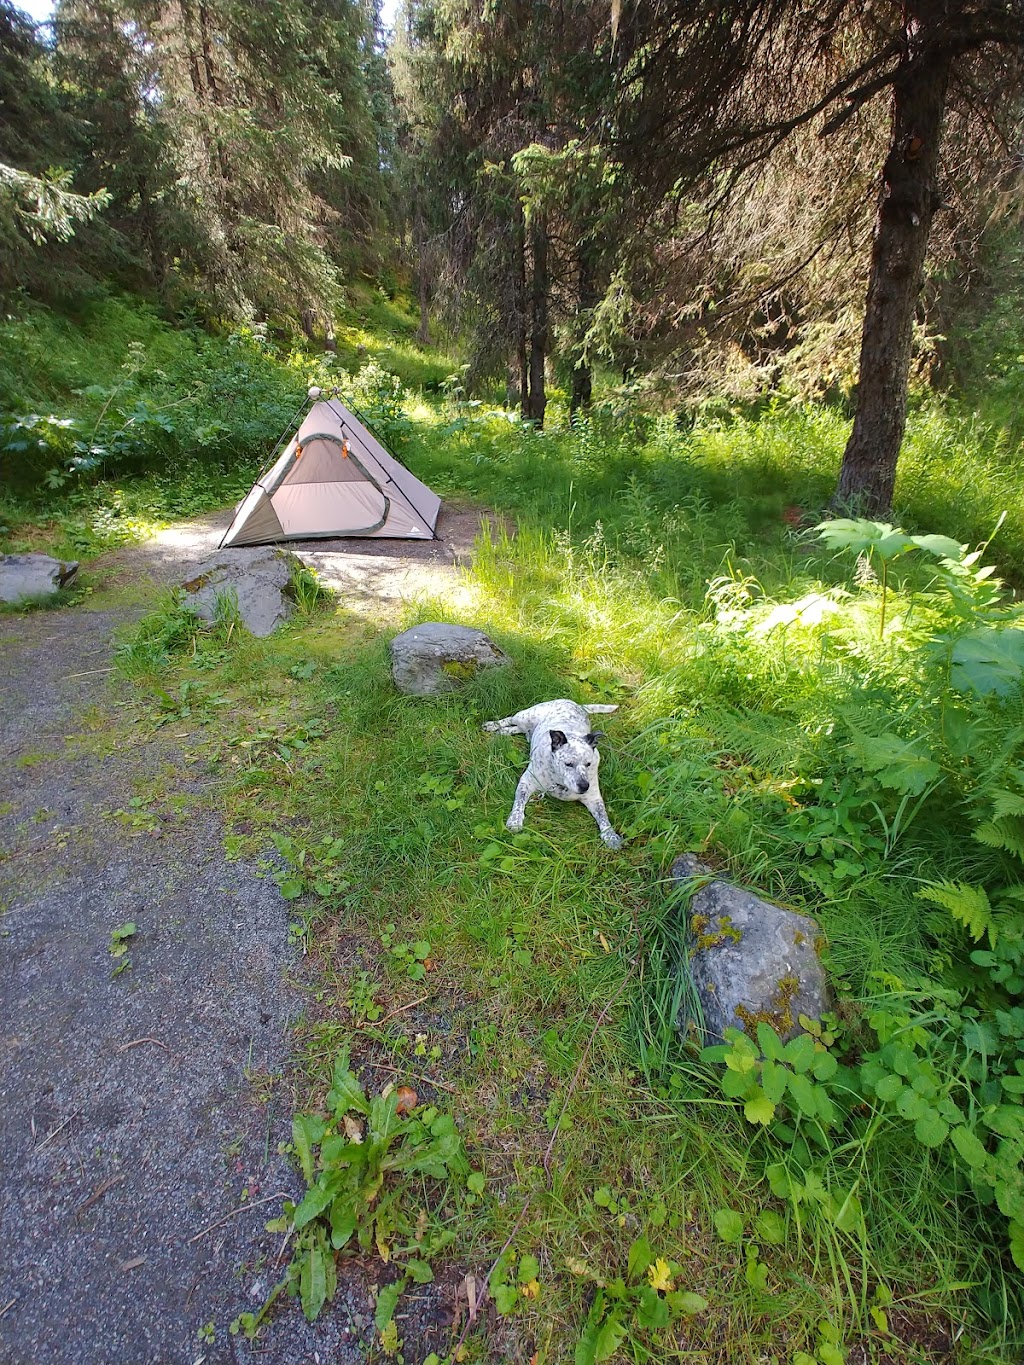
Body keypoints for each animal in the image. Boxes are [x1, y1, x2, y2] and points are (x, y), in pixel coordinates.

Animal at [483, 698, 622, 846]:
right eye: (568, 764)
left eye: (588, 764)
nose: (584, 786)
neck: (559, 782)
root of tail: (576, 704)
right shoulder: (526, 782)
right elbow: (519, 802)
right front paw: (515, 820)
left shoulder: (594, 798)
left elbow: (603, 815)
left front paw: (610, 835)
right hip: (525, 716)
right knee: (510, 719)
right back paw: (492, 725)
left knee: (517, 728)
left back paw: (503, 732)